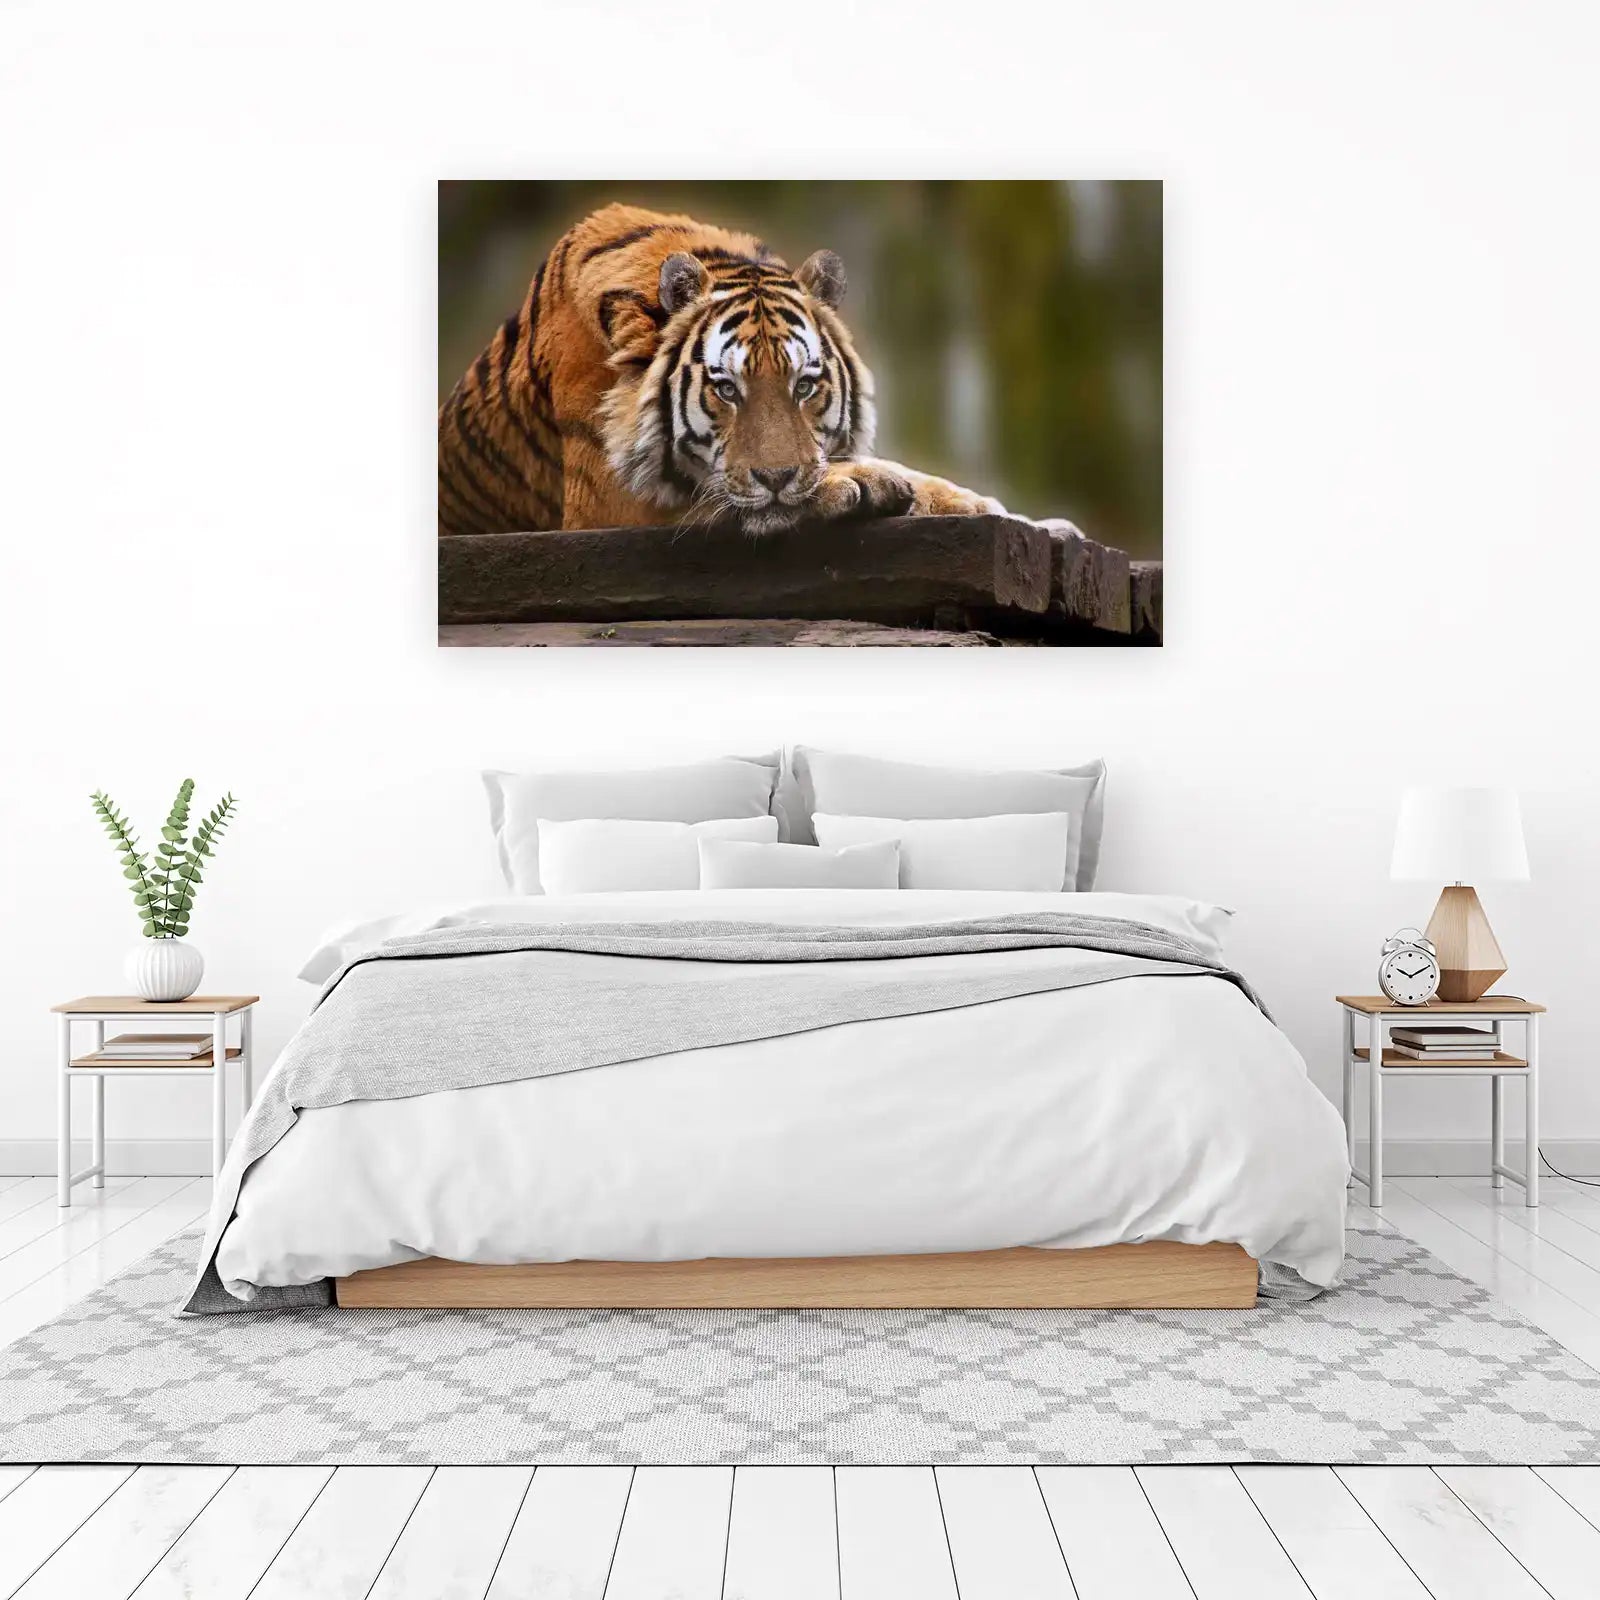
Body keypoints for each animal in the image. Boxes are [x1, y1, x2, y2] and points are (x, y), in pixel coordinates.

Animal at [437, 203, 1003, 538]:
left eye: (804, 386)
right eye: (727, 389)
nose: (777, 478)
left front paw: (976, 503)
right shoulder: (608, 504)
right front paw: (860, 482)